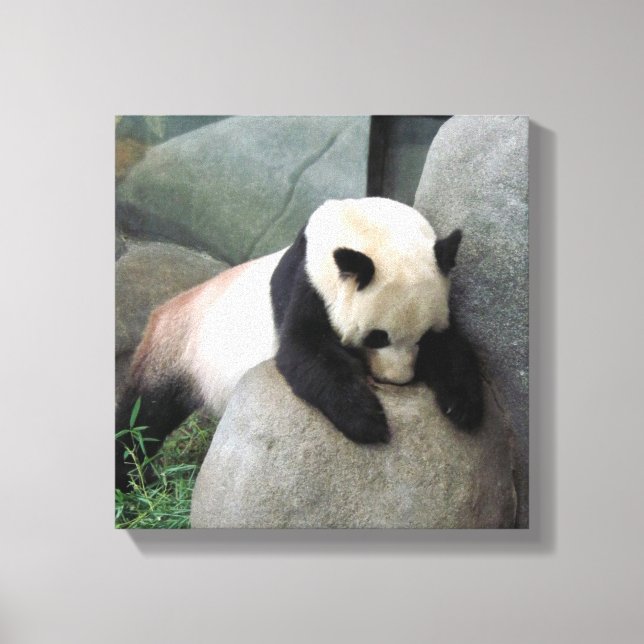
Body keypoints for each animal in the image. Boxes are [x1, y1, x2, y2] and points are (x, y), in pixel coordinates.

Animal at [115, 197, 483, 491]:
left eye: (423, 336)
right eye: (377, 336)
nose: (398, 380)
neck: (361, 223)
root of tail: (164, 309)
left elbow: (453, 347)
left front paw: (462, 405)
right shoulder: (306, 281)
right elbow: (305, 352)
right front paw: (367, 420)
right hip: (176, 351)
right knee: (143, 416)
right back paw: (130, 480)